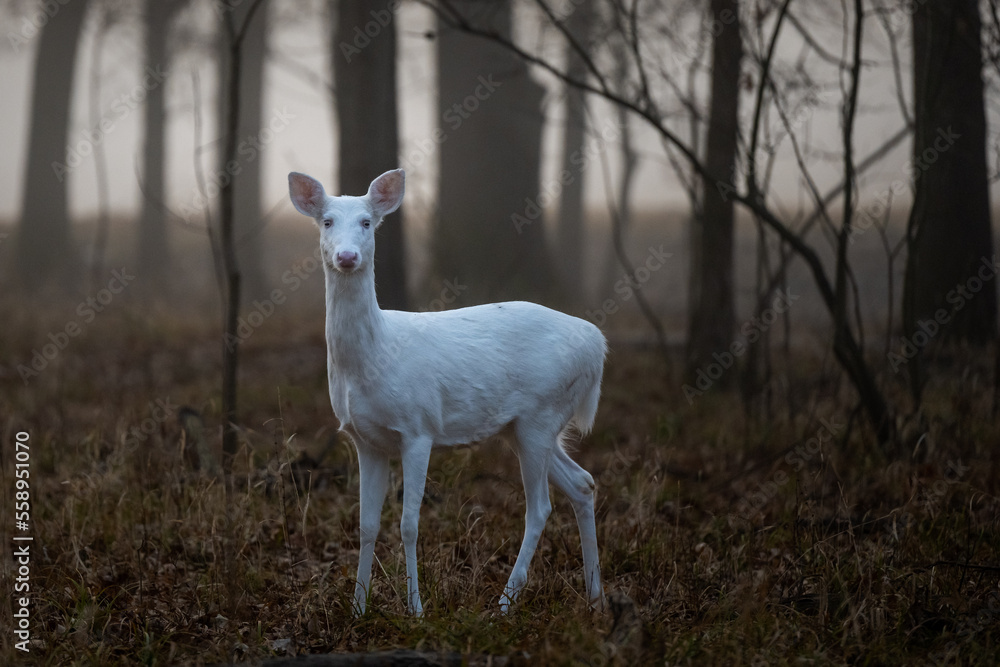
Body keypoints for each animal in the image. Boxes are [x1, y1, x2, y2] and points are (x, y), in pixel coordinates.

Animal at [288, 168, 606, 616]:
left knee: (539, 507)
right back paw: (595, 599)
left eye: (367, 222)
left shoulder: (418, 427)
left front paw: (416, 610)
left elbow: (408, 524)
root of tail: (598, 343)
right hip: (522, 426)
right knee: (583, 482)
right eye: (327, 221)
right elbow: (366, 525)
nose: (347, 257)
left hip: (542, 414)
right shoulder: (365, 439)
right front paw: (358, 609)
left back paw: (504, 604)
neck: (375, 355)